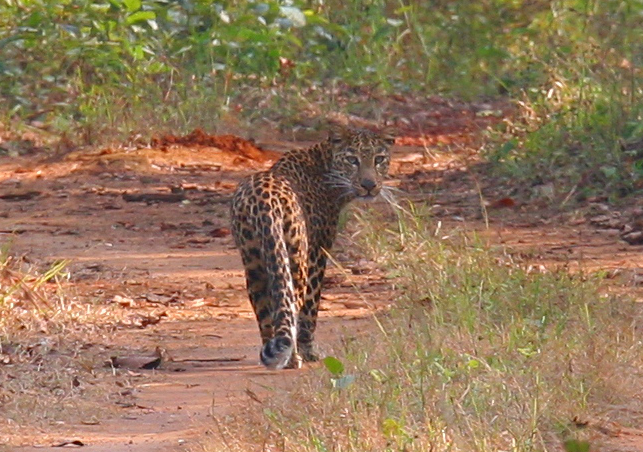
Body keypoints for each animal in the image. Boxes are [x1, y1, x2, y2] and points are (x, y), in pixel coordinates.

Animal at [229, 127, 394, 370]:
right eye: (352, 160)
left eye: (379, 159)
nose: (369, 185)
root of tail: (263, 201)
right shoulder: (318, 251)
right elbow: (311, 308)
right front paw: (309, 352)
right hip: (296, 256)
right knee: (292, 305)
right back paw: (293, 358)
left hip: (254, 259)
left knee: (264, 310)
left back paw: (273, 355)